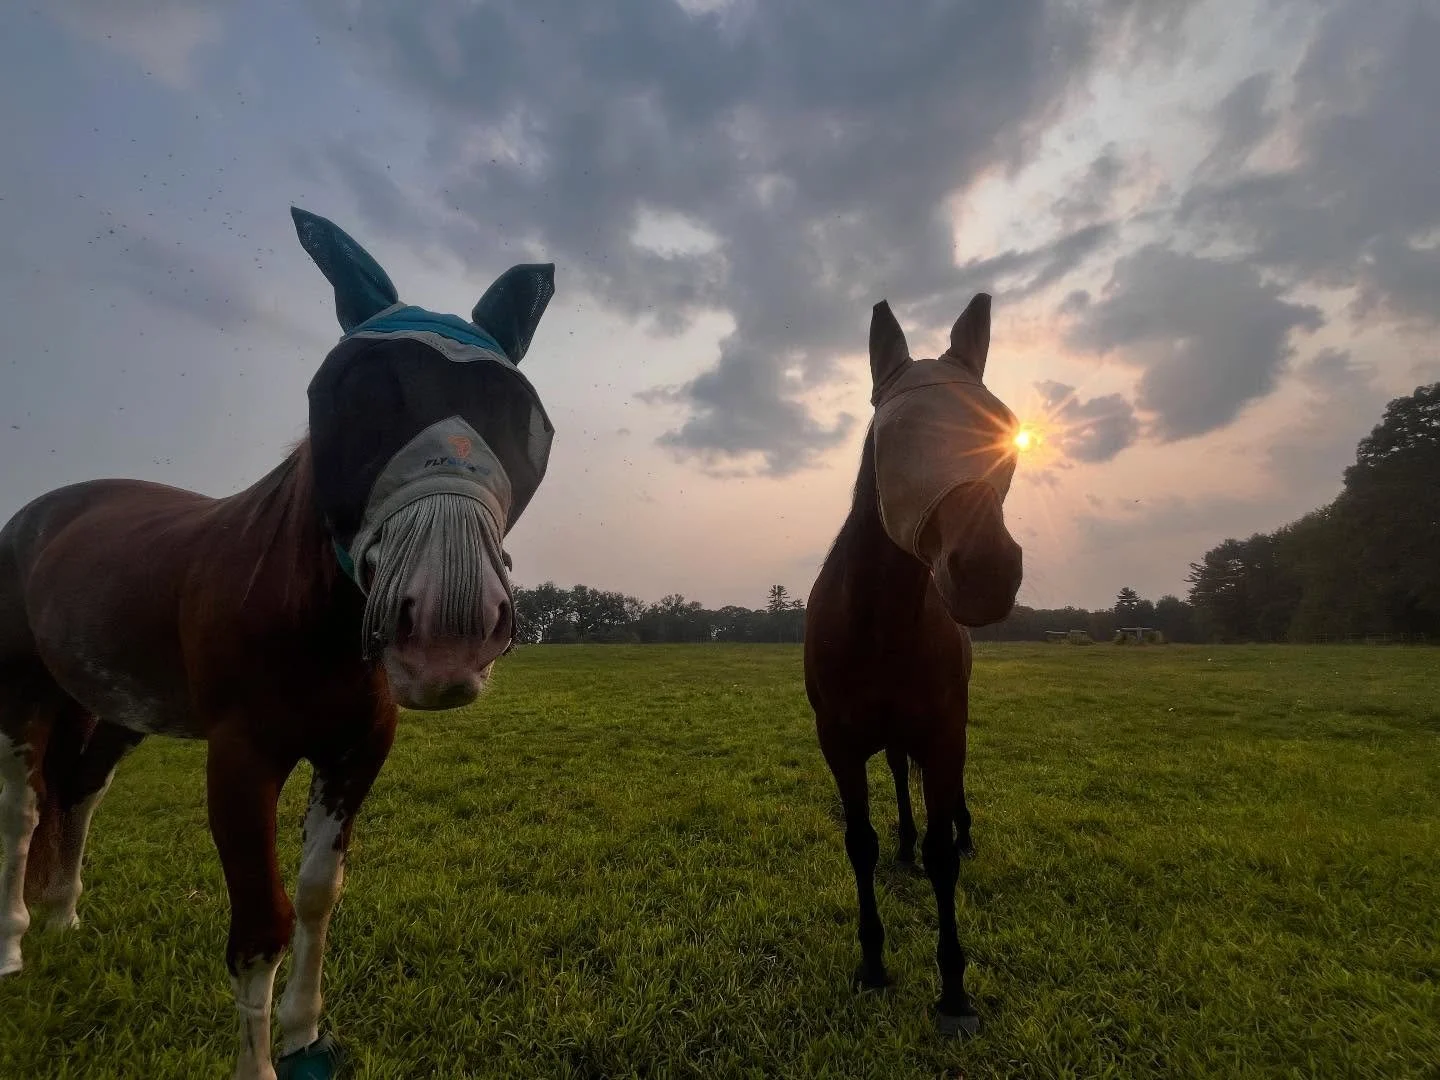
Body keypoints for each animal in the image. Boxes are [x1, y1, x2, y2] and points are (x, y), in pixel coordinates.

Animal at [0, 207, 558, 1080]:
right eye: (340, 396)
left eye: (528, 418)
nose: (447, 631)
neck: (306, 616)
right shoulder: (241, 759)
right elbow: (262, 921)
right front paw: (262, 1061)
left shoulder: (355, 753)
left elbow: (319, 897)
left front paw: (303, 1034)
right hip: (21, 690)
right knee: (23, 806)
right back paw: (14, 943)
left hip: (116, 706)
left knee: (79, 790)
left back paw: (62, 916)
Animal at [804, 293, 1023, 1037]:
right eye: (892, 435)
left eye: (1005, 428)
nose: (985, 570)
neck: (877, 624)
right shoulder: (839, 742)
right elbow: (860, 843)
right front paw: (873, 965)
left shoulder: (943, 731)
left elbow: (940, 854)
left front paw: (954, 991)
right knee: (899, 779)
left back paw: (962, 831)